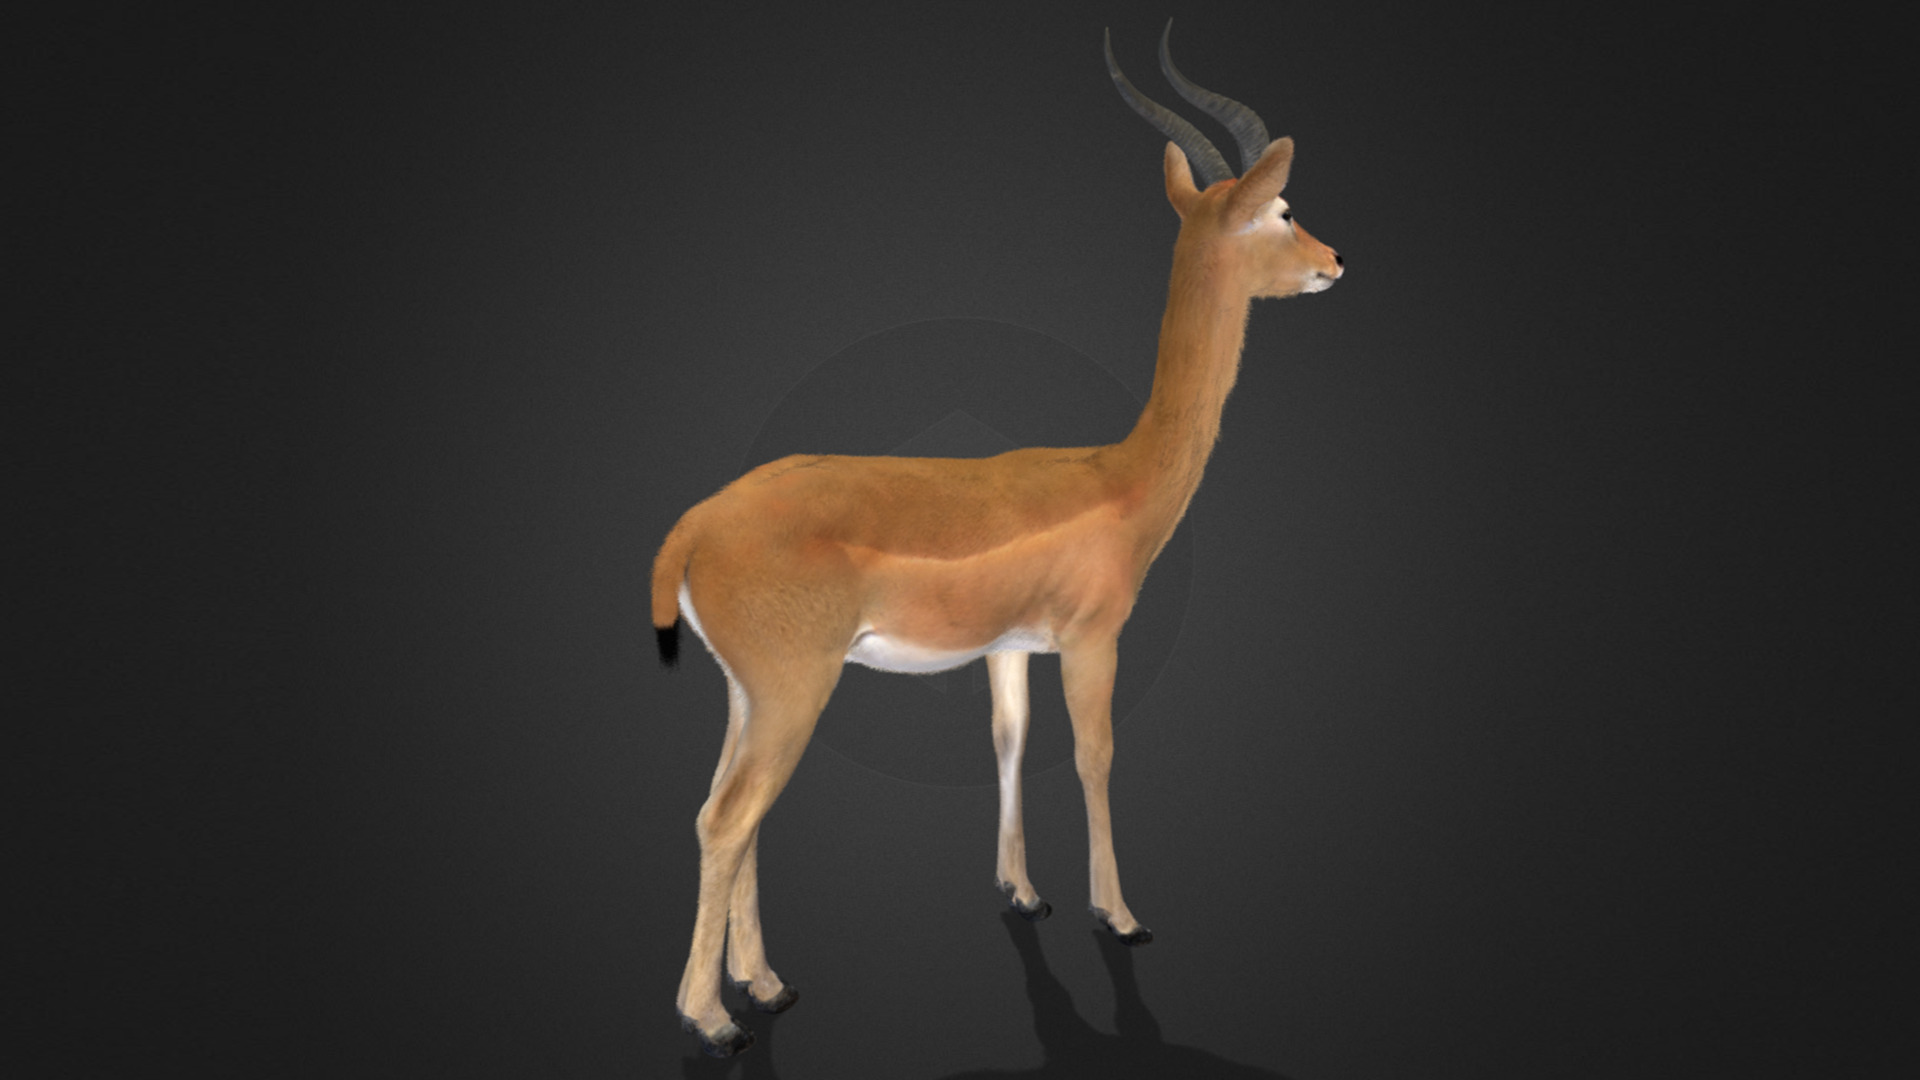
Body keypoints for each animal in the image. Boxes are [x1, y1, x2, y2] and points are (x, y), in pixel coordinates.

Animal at [655, 23, 1342, 1057]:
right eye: (1283, 209)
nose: (1335, 260)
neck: (1121, 473)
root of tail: (694, 524)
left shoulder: (1010, 647)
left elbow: (1010, 743)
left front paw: (1022, 892)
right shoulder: (1094, 640)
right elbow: (1096, 754)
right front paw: (1120, 915)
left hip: (749, 694)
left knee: (729, 814)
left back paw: (764, 986)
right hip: (793, 691)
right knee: (728, 818)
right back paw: (714, 1017)